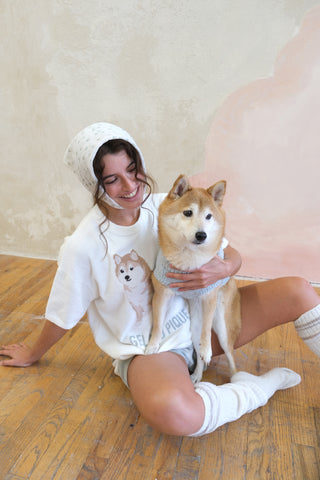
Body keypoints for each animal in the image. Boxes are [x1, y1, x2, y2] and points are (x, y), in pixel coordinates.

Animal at [146, 175, 241, 382]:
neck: (188, 260)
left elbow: (206, 333)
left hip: (222, 326)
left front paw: (207, 349)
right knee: (198, 351)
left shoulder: (209, 298)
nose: (201, 235)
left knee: (230, 355)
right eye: (188, 212)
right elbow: (157, 324)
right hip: (194, 326)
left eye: (209, 216)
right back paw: (197, 375)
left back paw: (235, 378)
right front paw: (152, 345)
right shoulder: (162, 294)